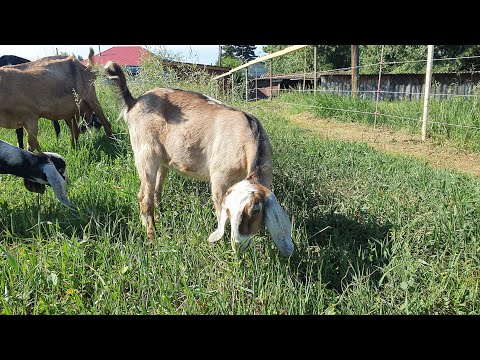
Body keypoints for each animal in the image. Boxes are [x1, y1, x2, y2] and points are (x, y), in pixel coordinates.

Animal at [105, 61, 294, 256]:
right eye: (229, 211)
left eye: (256, 210)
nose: (238, 245)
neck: (248, 136)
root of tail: (134, 101)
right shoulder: (220, 177)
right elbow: (218, 208)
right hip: (145, 152)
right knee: (144, 197)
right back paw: (152, 237)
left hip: (162, 159)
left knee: (157, 190)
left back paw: (161, 216)